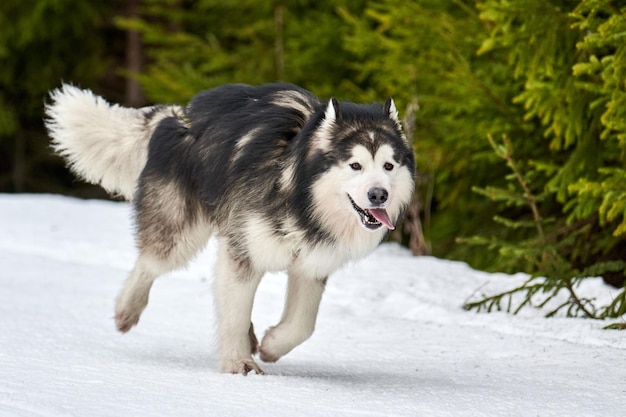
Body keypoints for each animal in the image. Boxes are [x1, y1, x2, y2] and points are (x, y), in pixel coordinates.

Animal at [45, 82, 414, 374]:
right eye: (355, 165)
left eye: (388, 165)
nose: (378, 194)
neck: (297, 195)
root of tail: (178, 115)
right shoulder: (243, 252)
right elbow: (235, 312)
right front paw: (240, 365)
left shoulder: (311, 264)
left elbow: (302, 325)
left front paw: (270, 345)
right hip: (181, 233)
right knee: (150, 262)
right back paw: (127, 309)